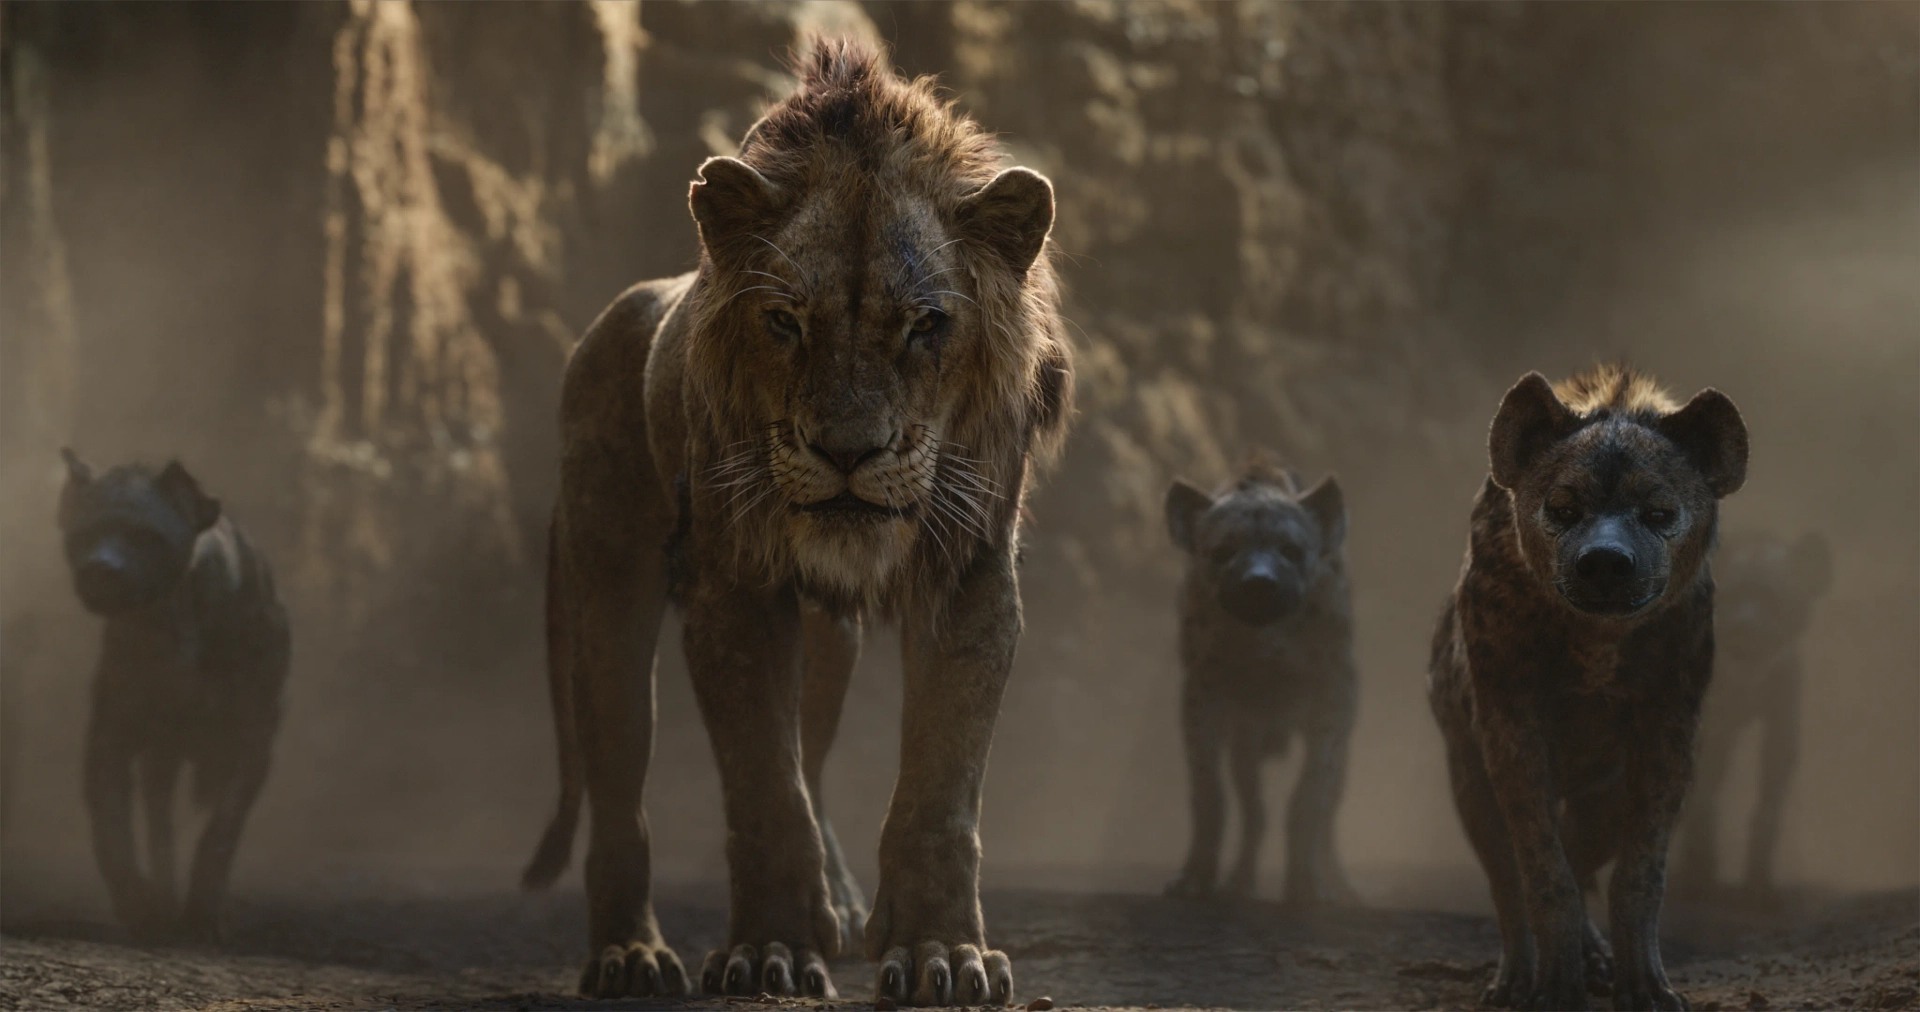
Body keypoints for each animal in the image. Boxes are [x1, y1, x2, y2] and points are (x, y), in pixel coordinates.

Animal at [520, 41, 1072, 1006]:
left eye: (926, 326)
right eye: (784, 321)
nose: (848, 451)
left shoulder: (970, 578)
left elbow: (938, 790)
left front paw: (938, 953)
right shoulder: (734, 589)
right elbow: (764, 790)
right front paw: (769, 952)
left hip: (828, 641)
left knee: (812, 754)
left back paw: (842, 903)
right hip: (607, 593)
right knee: (621, 786)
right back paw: (629, 955)